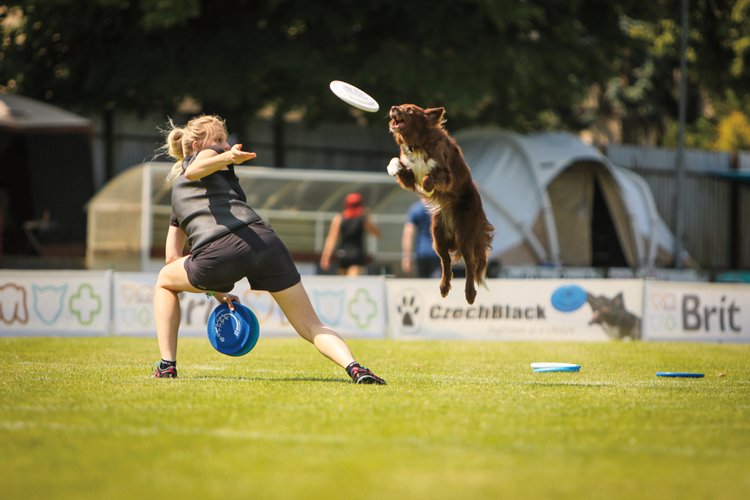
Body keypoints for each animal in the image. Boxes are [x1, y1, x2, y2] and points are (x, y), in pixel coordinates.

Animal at [390, 104, 496, 304]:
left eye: (409, 110)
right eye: (400, 106)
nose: (393, 108)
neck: (418, 144)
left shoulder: (447, 174)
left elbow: (434, 175)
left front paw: (427, 184)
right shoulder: (408, 178)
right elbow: (396, 162)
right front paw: (393, 167)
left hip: (465, 234)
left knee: (470, 263)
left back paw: (470, 293)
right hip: (437, 234)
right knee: (446, 262)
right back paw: (444, 287)